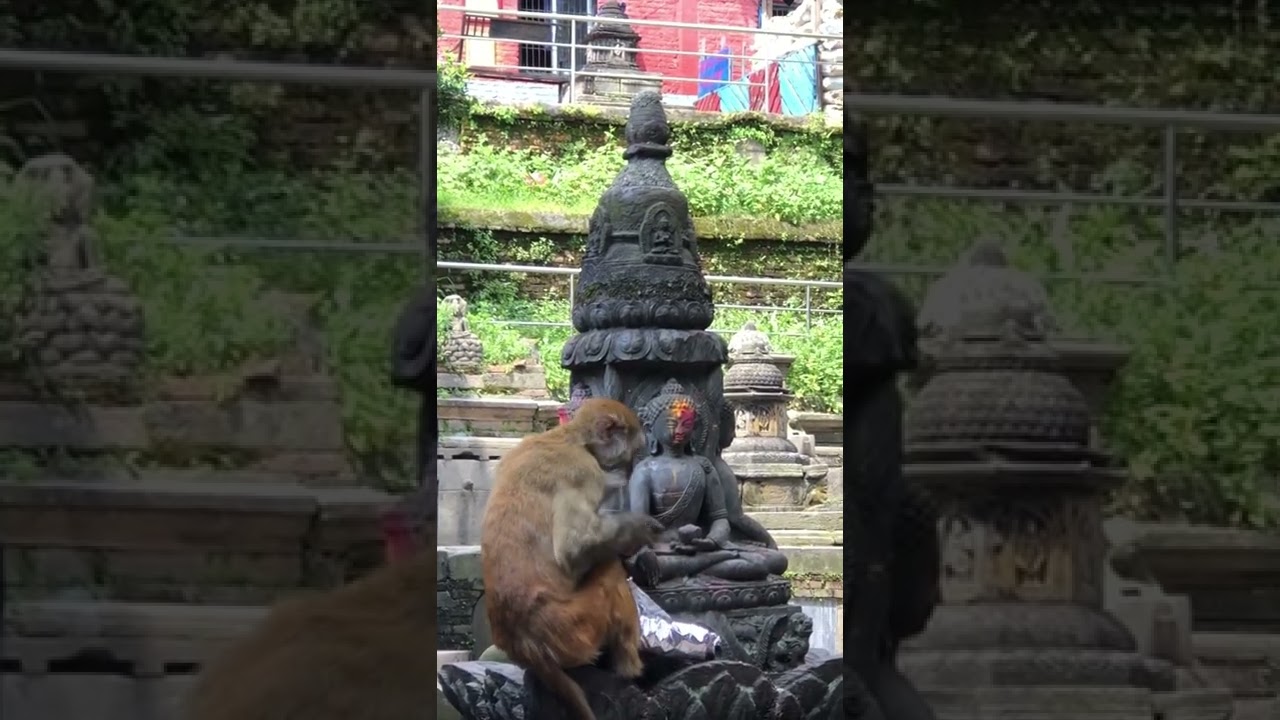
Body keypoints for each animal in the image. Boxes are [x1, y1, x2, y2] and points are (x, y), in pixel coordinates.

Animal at [482, 397, 662, 720]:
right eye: (630, 454)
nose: (629, 471)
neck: (571, 438)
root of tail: (524, 647)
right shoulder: (585, 471)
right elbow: (574, 548)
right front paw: (642, 530)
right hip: (576, 628)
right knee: (607, 568)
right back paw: (631, 668)